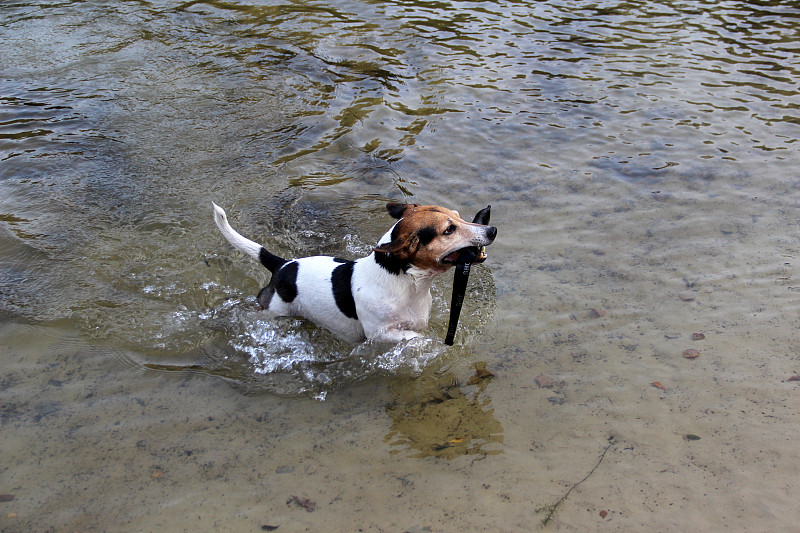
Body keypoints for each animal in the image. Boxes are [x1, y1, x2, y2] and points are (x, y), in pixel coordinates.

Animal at [212, 202, 500, 342]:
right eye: (449, 230)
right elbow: (413, 338)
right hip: (274, 312)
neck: (404, 284)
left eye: (459, 216)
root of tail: (282, 265)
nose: (492, 230)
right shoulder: (380, 334)